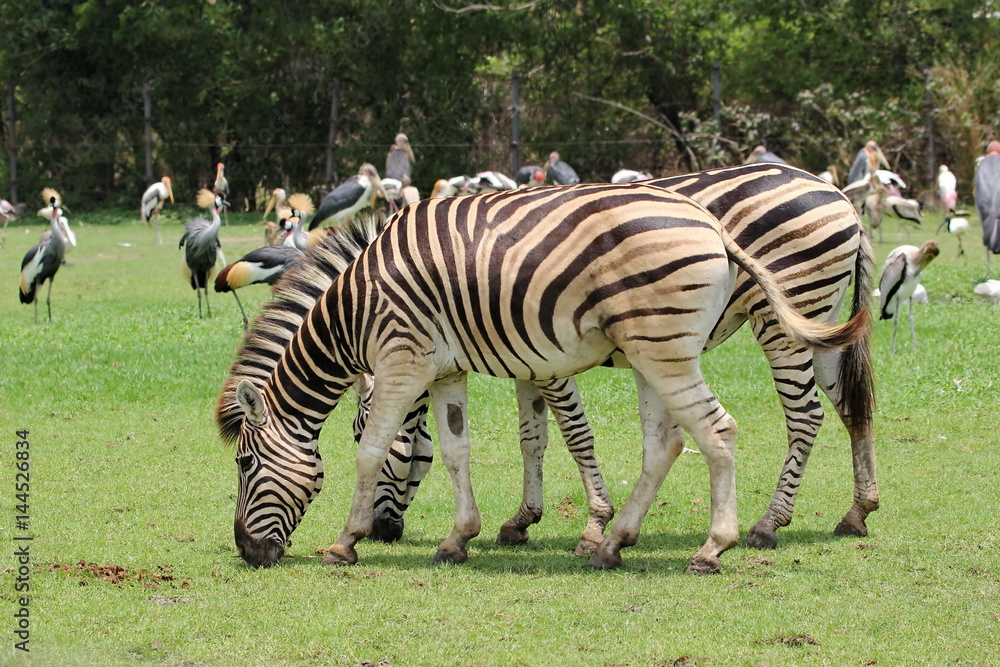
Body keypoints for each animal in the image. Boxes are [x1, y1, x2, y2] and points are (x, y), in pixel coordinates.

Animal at [217, 182, 867, 572]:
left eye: (244, 464)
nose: (246, 552)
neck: (357, 308)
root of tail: (714, 227)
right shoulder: (448, 367)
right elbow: (458, 450)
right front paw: (462, 537)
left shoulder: (405, 358)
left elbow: (373, 451)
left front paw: (344, 541)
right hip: (681, 346)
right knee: (682, 441)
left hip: (709, 340)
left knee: (734, 430)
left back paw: (725, 542)